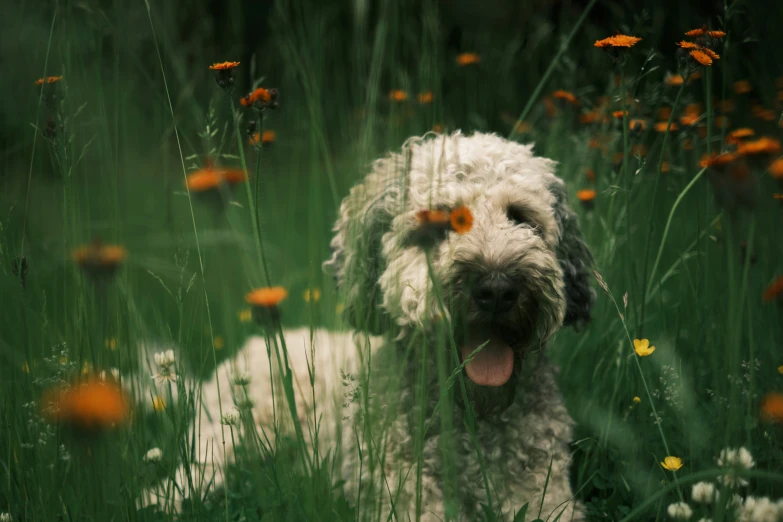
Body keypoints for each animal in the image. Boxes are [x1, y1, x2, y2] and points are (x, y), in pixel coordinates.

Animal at [142, 131, 596, 520]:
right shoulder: (404, 495)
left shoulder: (545, 492)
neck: (471, 425)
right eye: (439, 224)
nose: (497, 288)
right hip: (230, 437)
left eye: (521, 218)